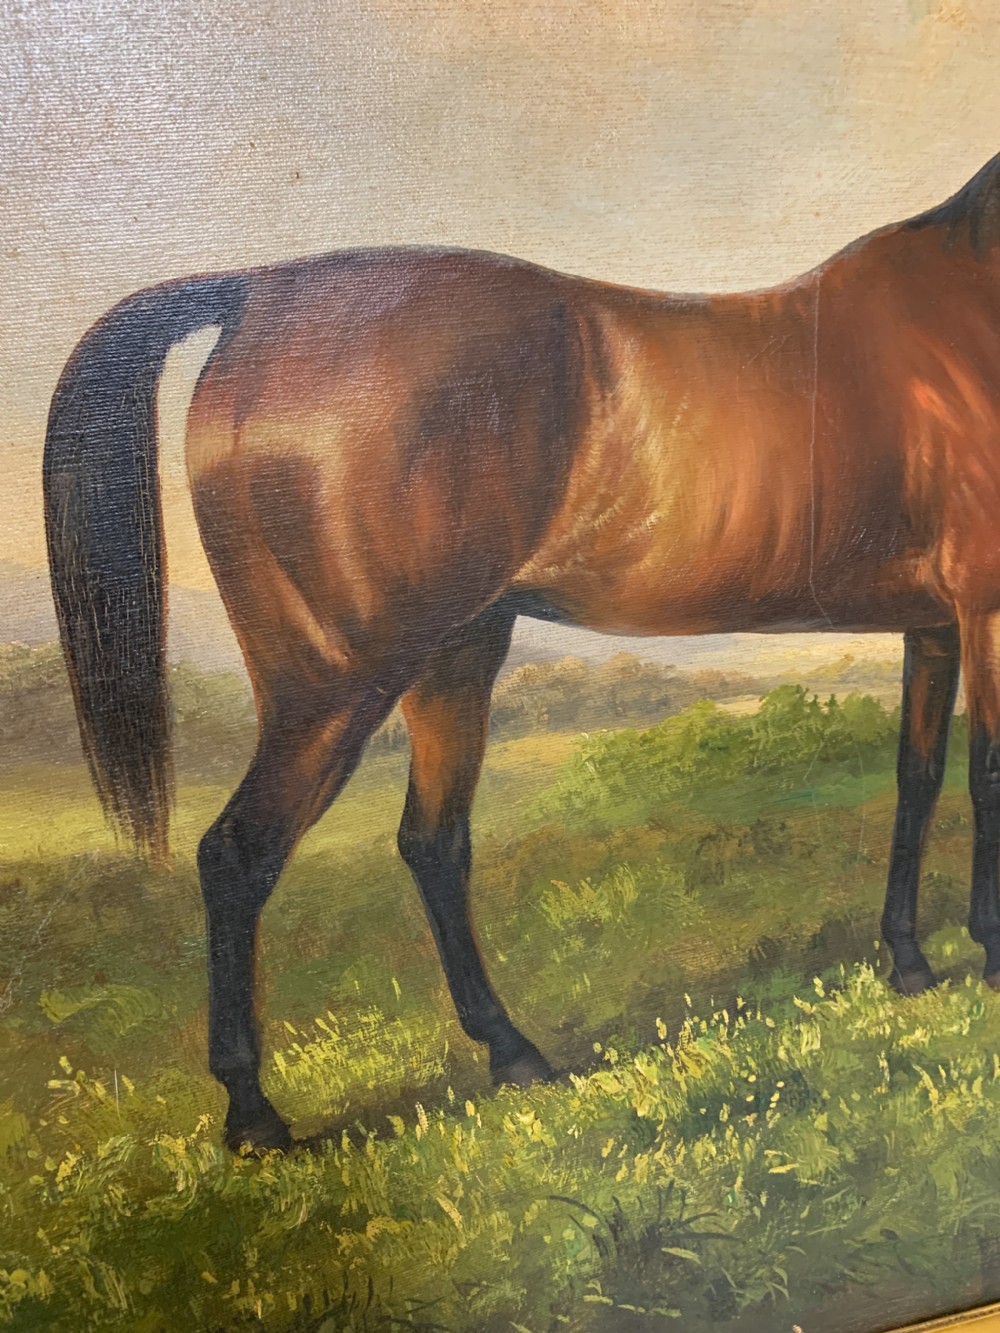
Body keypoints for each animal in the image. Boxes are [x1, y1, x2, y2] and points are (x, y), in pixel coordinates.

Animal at [43, 150, 1000, 1151]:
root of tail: (257, 295)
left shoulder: (935, 625)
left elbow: (917, 778)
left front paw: (909, 960)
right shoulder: (983, 608)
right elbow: (986, 773)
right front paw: (987, 952)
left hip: (453, 656)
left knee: (432, 843)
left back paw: (513, 1053)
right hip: (335, 684)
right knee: (239, 853)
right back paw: (256, 1113)